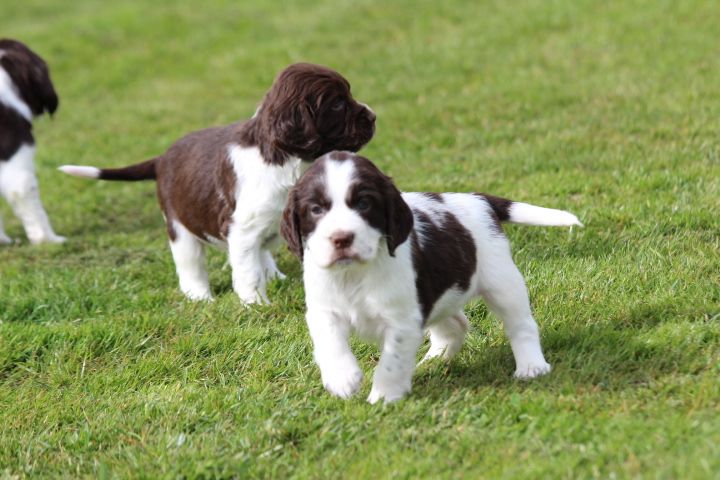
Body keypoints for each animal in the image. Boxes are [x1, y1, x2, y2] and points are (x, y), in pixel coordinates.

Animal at [59, 63, 375, 303]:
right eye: (337, 103)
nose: (374, 116)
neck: (282, 160)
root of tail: (161, 158)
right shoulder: (241, 228)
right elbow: (247, 271)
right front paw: (256, 305)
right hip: (179, 225)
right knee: (190, 264)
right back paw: (200, 297)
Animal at [281, 151, 582, 403]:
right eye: (316, 209)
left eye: (364, 203)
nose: (341, 238)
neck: (353, 274)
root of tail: (479, 200)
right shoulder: (323, 309)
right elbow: (329, 341)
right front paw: (342, 379)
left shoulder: (402, 320)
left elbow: (391, 362)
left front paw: (384, 397)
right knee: (455, 324)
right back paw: (435, 360)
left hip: (502, 284)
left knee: (521, 325)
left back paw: (531, 366)